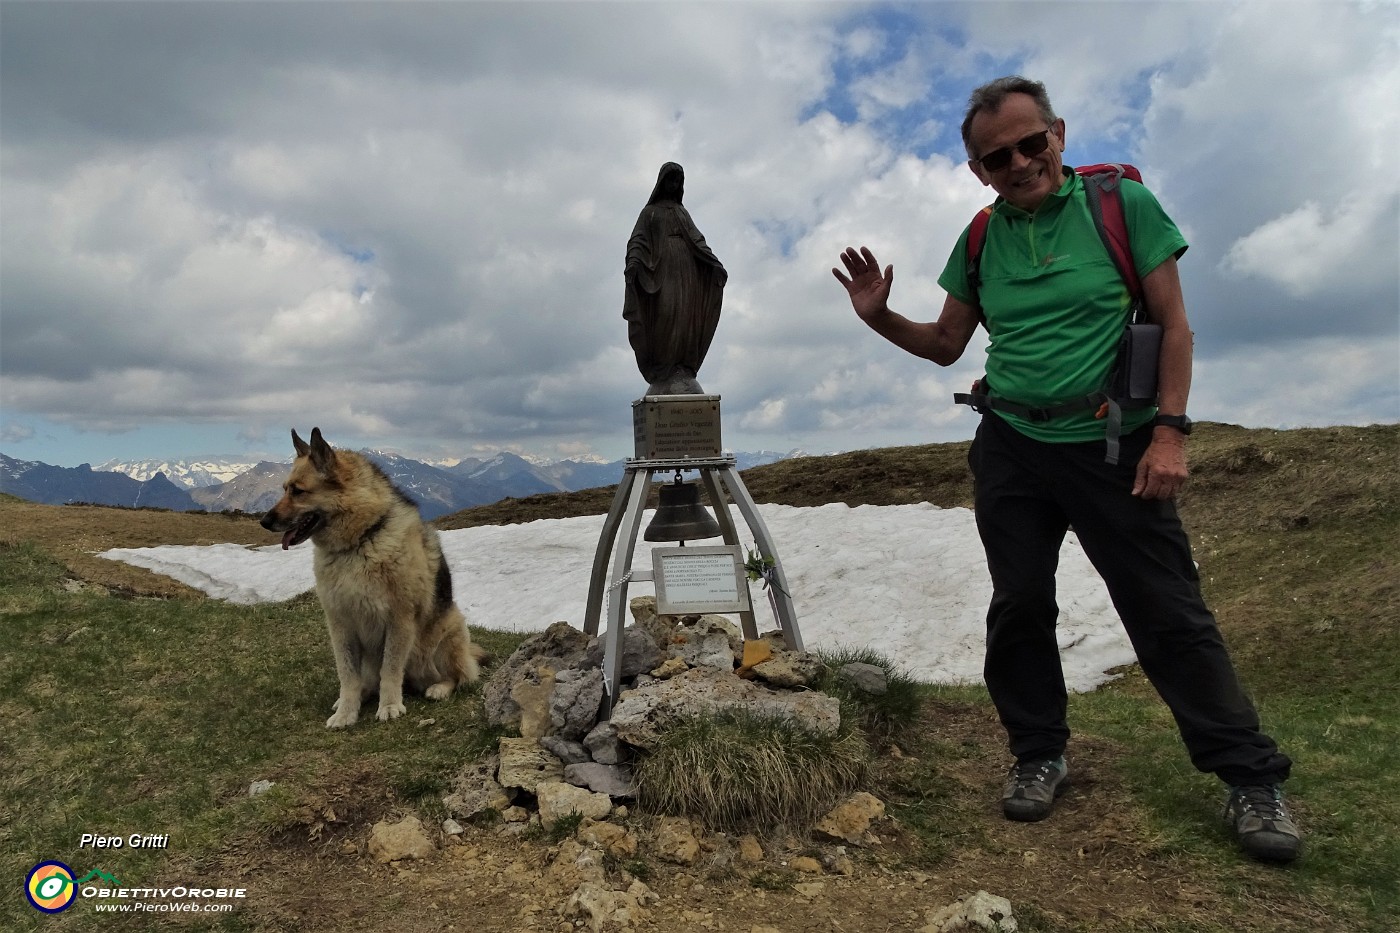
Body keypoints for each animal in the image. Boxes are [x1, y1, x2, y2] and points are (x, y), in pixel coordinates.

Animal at [261, 428, 481, 728]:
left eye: (298, 491)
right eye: (285, 489)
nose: (263, 521)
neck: (360, 541)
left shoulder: (398, 621)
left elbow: (390, 669)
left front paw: (389, 705)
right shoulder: (340, 625)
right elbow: (347, 675)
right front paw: (346, 711)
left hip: (446, 635)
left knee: (458, 676)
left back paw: (439, 688)